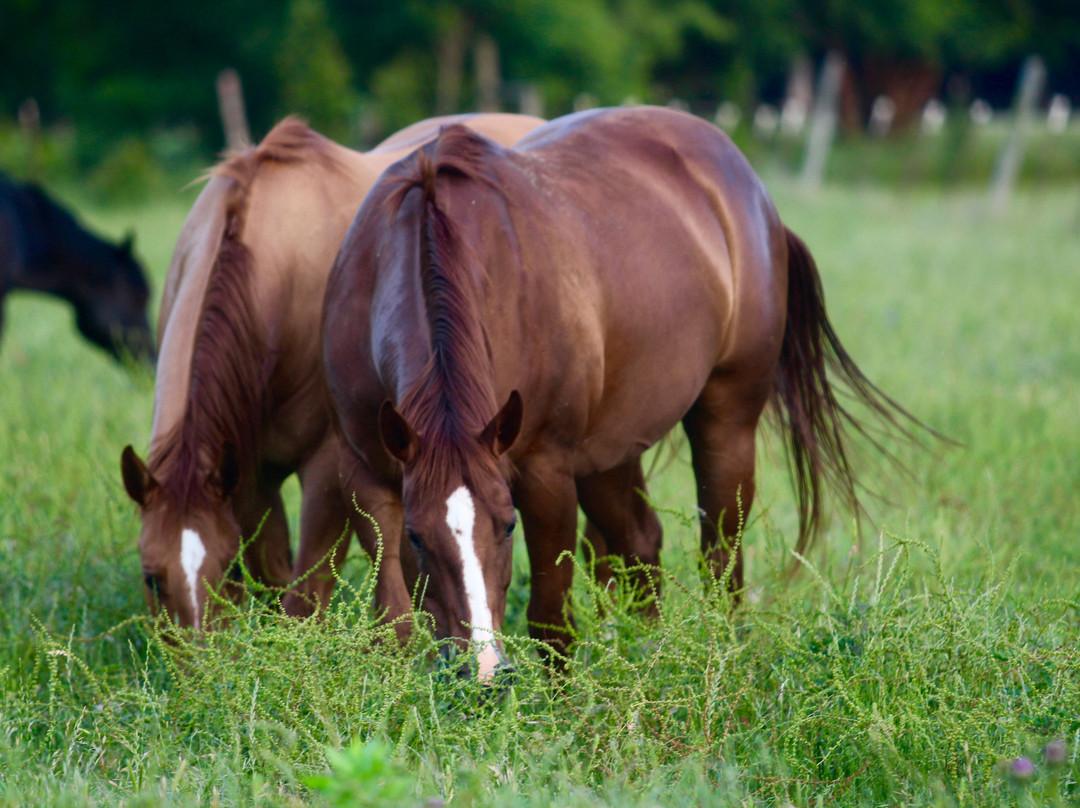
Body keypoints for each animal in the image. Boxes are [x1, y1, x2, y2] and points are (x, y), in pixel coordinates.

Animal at [118, 113, 544, 630]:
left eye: (227, 571)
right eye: (151, 578)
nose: (200, 653)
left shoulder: (326, 469)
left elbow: (305, 596)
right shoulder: (249, 473)